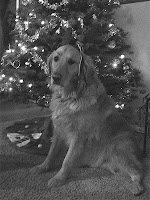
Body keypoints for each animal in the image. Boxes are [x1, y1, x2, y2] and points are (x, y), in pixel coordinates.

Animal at [30, 44, 144, 195]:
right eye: (56, 58)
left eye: (71, 62)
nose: (55, 77)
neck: (69, 97)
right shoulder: (59, 130)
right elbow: (51, 153)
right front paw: (43, 167)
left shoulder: (78, 137)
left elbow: (67, 160)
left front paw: (59, 178)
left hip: (118, 149)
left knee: (139, 171)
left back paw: (136, 186)